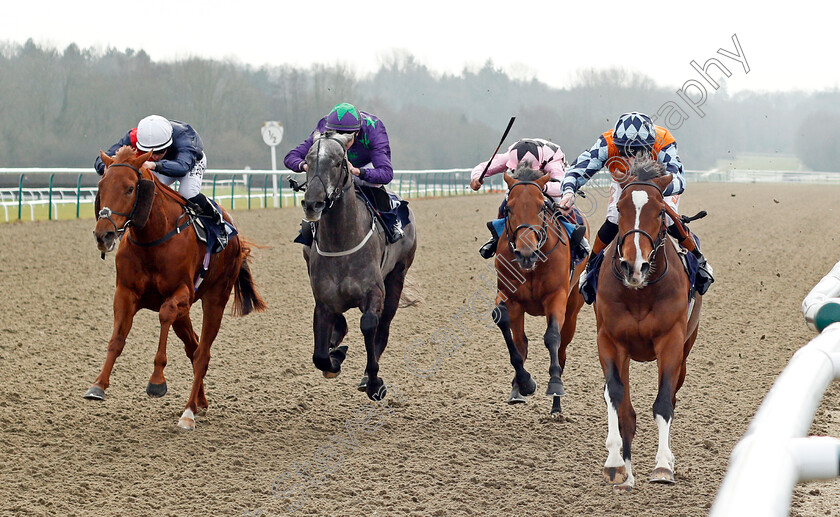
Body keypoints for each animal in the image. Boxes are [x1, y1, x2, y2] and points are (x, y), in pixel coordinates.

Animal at [88, 145, 266, 428]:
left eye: (130, 188)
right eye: (101, 185)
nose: (103, 235)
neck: (151, 238)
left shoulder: (181, 293)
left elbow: (164, 314)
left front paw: (157, 381)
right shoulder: (125, 292)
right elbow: (117, 339)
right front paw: (98, 385)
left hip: (216, 298)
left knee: (202, 353)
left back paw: (188, 412)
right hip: (187, 312)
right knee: (193, 347)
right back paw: (200, 402)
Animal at [298, 130, 416, 400]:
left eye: (338, 162)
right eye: (307, 160)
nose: (313, 204)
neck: (341, 243)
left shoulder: (374, 292)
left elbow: (369, 325)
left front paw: (373, 381)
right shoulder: (323, 301)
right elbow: (320, 355)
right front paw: (335, 356)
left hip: (397, 276)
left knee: (384, 326)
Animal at [492, 165, 592, 416]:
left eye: (541, 206)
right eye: (509, 208)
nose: (526, 253)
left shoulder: (556, 296)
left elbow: (552, 336)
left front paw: (555, 384)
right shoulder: (509, 295)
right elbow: (505, 325)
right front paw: (524, 382)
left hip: (572, 309)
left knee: (562, 348)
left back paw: (557, 404)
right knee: (521, 341)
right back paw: (518, 388)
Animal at [596, 159, 704, 490]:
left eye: (659, 211)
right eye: (619, 208)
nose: (635, 266)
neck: (640, 292)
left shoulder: (671, 342)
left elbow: (663, 402)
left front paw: (663, 466)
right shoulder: (609, 341)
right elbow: (617, 399)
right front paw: (617, 465)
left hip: (686, 349)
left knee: (673, 395)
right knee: (622, 407)